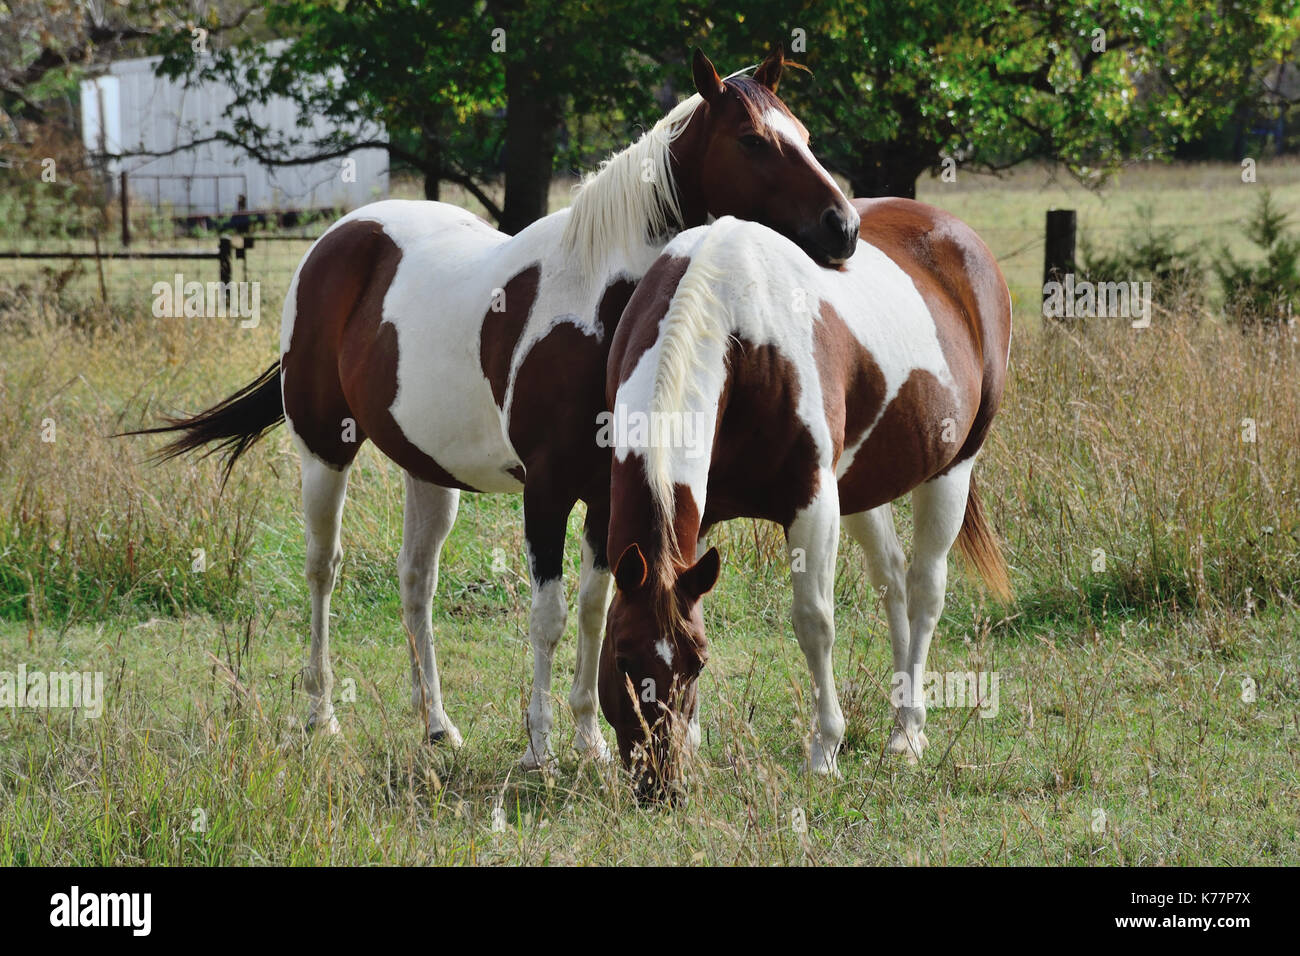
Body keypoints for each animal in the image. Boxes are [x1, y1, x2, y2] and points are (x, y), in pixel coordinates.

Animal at [129, 50, 863, 770]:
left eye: (803, 134)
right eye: (751, 140)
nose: (845, 228)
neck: (593, 303)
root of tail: (338, 239)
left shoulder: (604, 494)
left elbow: (595, 609)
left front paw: (589, 739)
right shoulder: (546, 491)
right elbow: (549, 615)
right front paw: (539, 746)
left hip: (428, 471)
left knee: (415, 582)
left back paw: (437, 724)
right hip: (324, 451)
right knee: (322, 570)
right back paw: (322, 714)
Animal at [598, 197, 1013, 796]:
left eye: (696, 665)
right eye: (623, 660)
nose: (661, 784)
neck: (734, 327)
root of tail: (957, 235)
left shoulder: (813, 504)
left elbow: (814, 622)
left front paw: (825, 751)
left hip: (952, 471)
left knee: (925, 591)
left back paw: (907, 734)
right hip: (864, 487)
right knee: (892, 582)